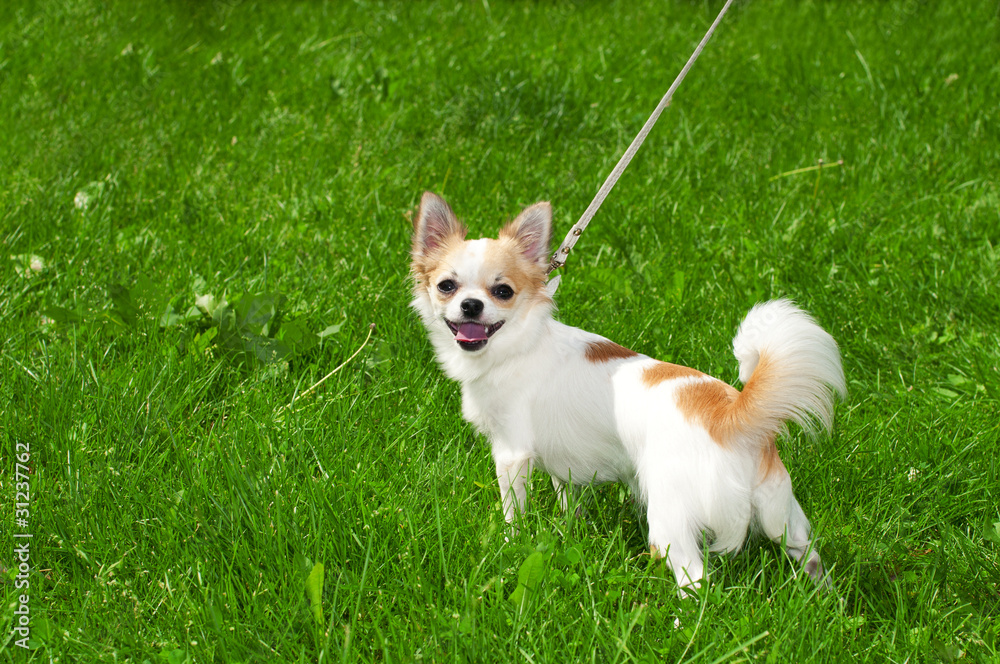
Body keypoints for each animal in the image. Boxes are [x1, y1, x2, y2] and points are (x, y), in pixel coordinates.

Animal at [410, 192, 848, 592]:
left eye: (503, 292)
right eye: (446, 286)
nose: (470, 305)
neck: (519, 343)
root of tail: (731, 413)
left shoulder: (512, 453)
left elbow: (512, 512)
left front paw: (508, 544)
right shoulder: (565, 462)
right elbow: (568, 498)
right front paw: (568, 531)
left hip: (669, 519)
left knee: (696, 579)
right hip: (781, 513)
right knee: (808, 554)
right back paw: (823, 600)